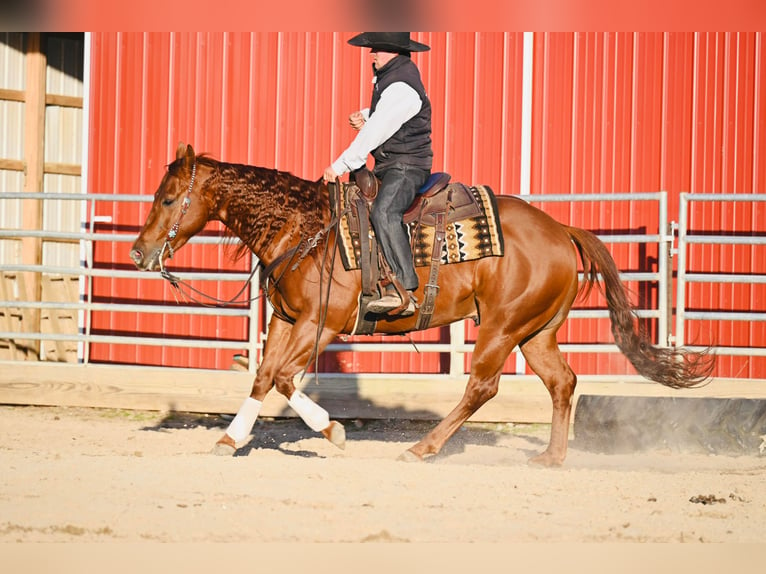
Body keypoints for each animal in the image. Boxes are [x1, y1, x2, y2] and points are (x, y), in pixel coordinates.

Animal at [130, 144, 712, 468]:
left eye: (167, 198)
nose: (138, 252)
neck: (305, 228)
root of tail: (560, 228)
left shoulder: (323, 323)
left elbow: (283, 377)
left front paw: (333, 430)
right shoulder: (286, 319)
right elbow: (263, 376)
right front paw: (230, 439)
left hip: (501, 327)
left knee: (482, 387)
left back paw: (421, 449)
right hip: (535, 332)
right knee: (562, 382)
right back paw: (551, 457)